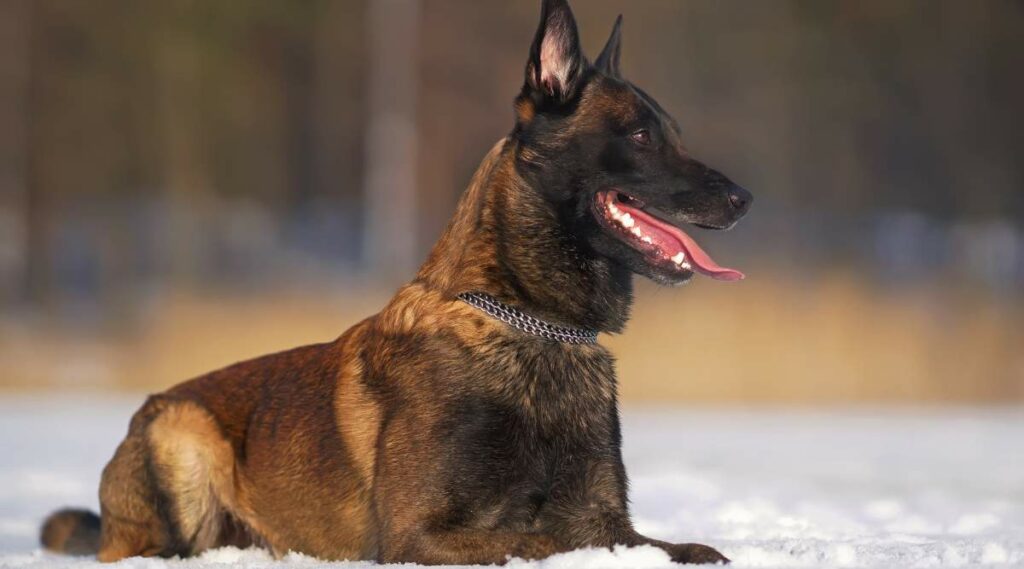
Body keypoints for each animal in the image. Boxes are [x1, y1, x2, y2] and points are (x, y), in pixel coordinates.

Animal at [41, 0, 753, 564]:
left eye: (672, 135)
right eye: (640, 135)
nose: (744, 200)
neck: (531, 327)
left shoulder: (605, 519)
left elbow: (687, 547)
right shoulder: (420, 536)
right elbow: (538, 539)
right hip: (183, 434)